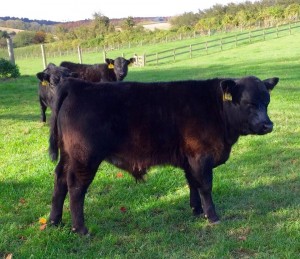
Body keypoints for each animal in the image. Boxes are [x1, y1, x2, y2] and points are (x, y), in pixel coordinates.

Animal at [47, 75, 278, 236]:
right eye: (248, 103)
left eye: (267, 102)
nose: (268, 125)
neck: (217, 109)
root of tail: (78, 85)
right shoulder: (201, 156)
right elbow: (205, 186)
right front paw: (212, 216)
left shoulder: (189, 159)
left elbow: (192, 183)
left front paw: (196, 210)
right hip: (85, 158)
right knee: (76, 187)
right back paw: (80, 229)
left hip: (68, 157)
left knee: (60, 180)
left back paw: (53, 222)